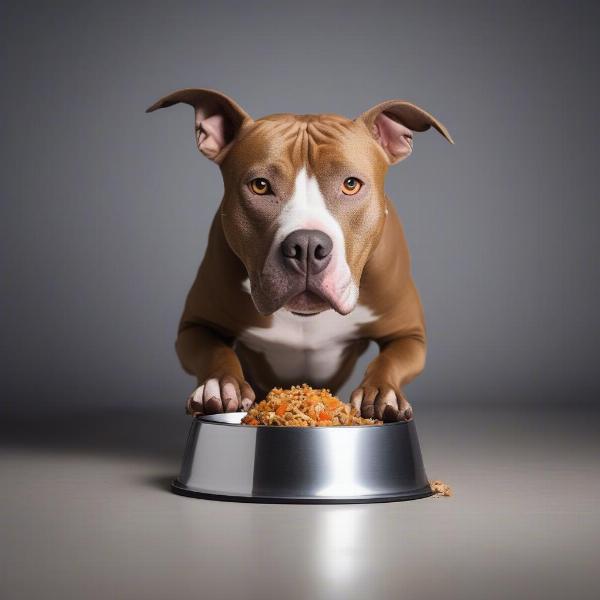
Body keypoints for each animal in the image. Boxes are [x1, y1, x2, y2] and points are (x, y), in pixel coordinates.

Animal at [148, 89, 452, 422]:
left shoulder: (410, 333)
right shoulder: (195, 325)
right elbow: (215, 351)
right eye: (260, 186)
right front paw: (219, 385)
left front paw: (383, 392)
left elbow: (390, 360)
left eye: (350, 184)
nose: (307, 246)